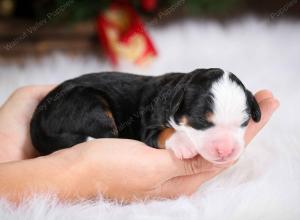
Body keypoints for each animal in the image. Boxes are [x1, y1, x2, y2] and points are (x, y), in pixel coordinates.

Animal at [29, 68, 260, 163]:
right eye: (201, 121)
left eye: (244, 123)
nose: (226, 151)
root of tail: (37, 121)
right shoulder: (149, 127)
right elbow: (165, 132)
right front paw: (184, 144)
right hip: (90, 104)